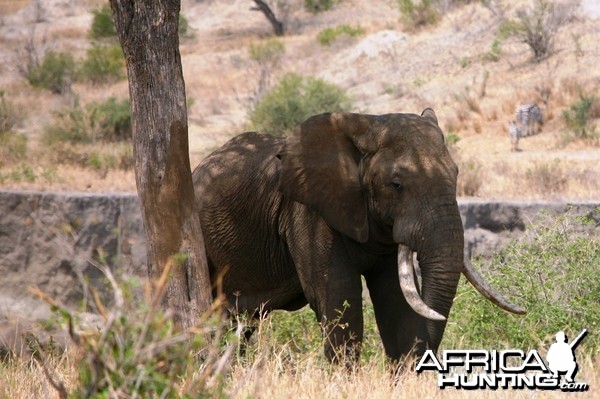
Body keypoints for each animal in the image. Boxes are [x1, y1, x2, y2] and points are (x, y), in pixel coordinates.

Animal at [193, 108, 524, 366]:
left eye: (456, 175)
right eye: (396, 184)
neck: (367, 125)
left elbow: (397, 302)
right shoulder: (308, 213)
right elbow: (338, 298)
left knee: (240, 326)